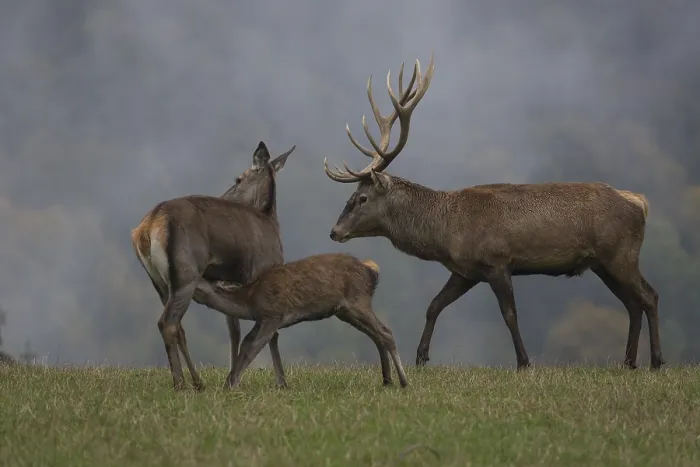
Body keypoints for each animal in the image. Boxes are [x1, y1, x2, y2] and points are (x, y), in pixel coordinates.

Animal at [131, 141, 295, 391]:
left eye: (238, 179)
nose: (223, 195)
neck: (271, 223)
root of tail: (146, 229)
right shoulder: (261, 273)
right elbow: (270, 332)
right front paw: (281, 382)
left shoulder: (233, 283)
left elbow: (234, 330)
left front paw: (234, 379)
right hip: (186, 275)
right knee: (167, 323)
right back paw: (180, 384)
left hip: (159, 282)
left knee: (178, 327)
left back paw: (197, 382)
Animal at [206, 253, 409, 388]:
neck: (250, 300)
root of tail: (371, 270)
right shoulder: (262, 320)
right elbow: (247, 343)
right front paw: (229, 382)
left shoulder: (273, 314)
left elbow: (253, 347)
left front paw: (232, 384)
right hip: (345, 311)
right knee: (377, 335)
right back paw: (387, 380)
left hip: (357, 302)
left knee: (385, 332)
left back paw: (404, 382)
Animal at [323, 53, 665, 371]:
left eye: (362, 198)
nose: (334, 231)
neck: (444, 231)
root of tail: (639, 203)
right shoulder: (465, 271)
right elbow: (434, 305)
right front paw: (420, 357)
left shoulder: (497, 261)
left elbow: (509, 314)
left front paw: (524, 362)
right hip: (602, 263)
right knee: (632, 303)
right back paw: (629, 362)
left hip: (621, 253)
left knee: (649, 296)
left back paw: (656, 361)